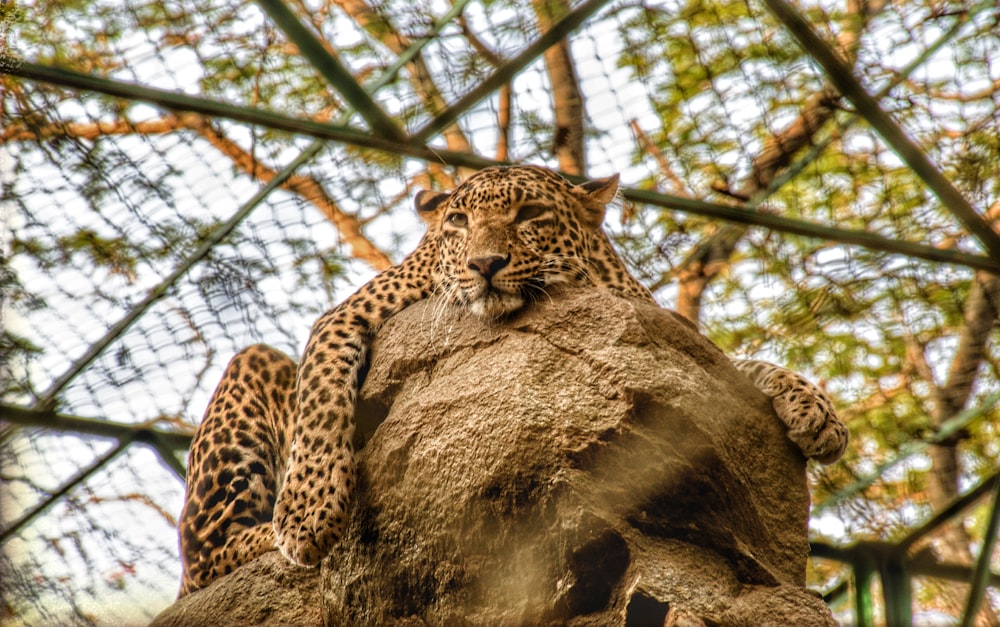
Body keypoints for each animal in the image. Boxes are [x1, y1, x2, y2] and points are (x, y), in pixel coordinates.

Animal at [176, 166, 848, 600]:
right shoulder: (351, 311)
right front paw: (309, 514)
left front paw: (818, 412)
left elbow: (739, 366)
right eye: (458, 221)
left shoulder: (662, 329)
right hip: (249, 375)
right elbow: (320, 392)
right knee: (206, 554)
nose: (484, 264)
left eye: (529, 215)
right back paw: (272, 533)